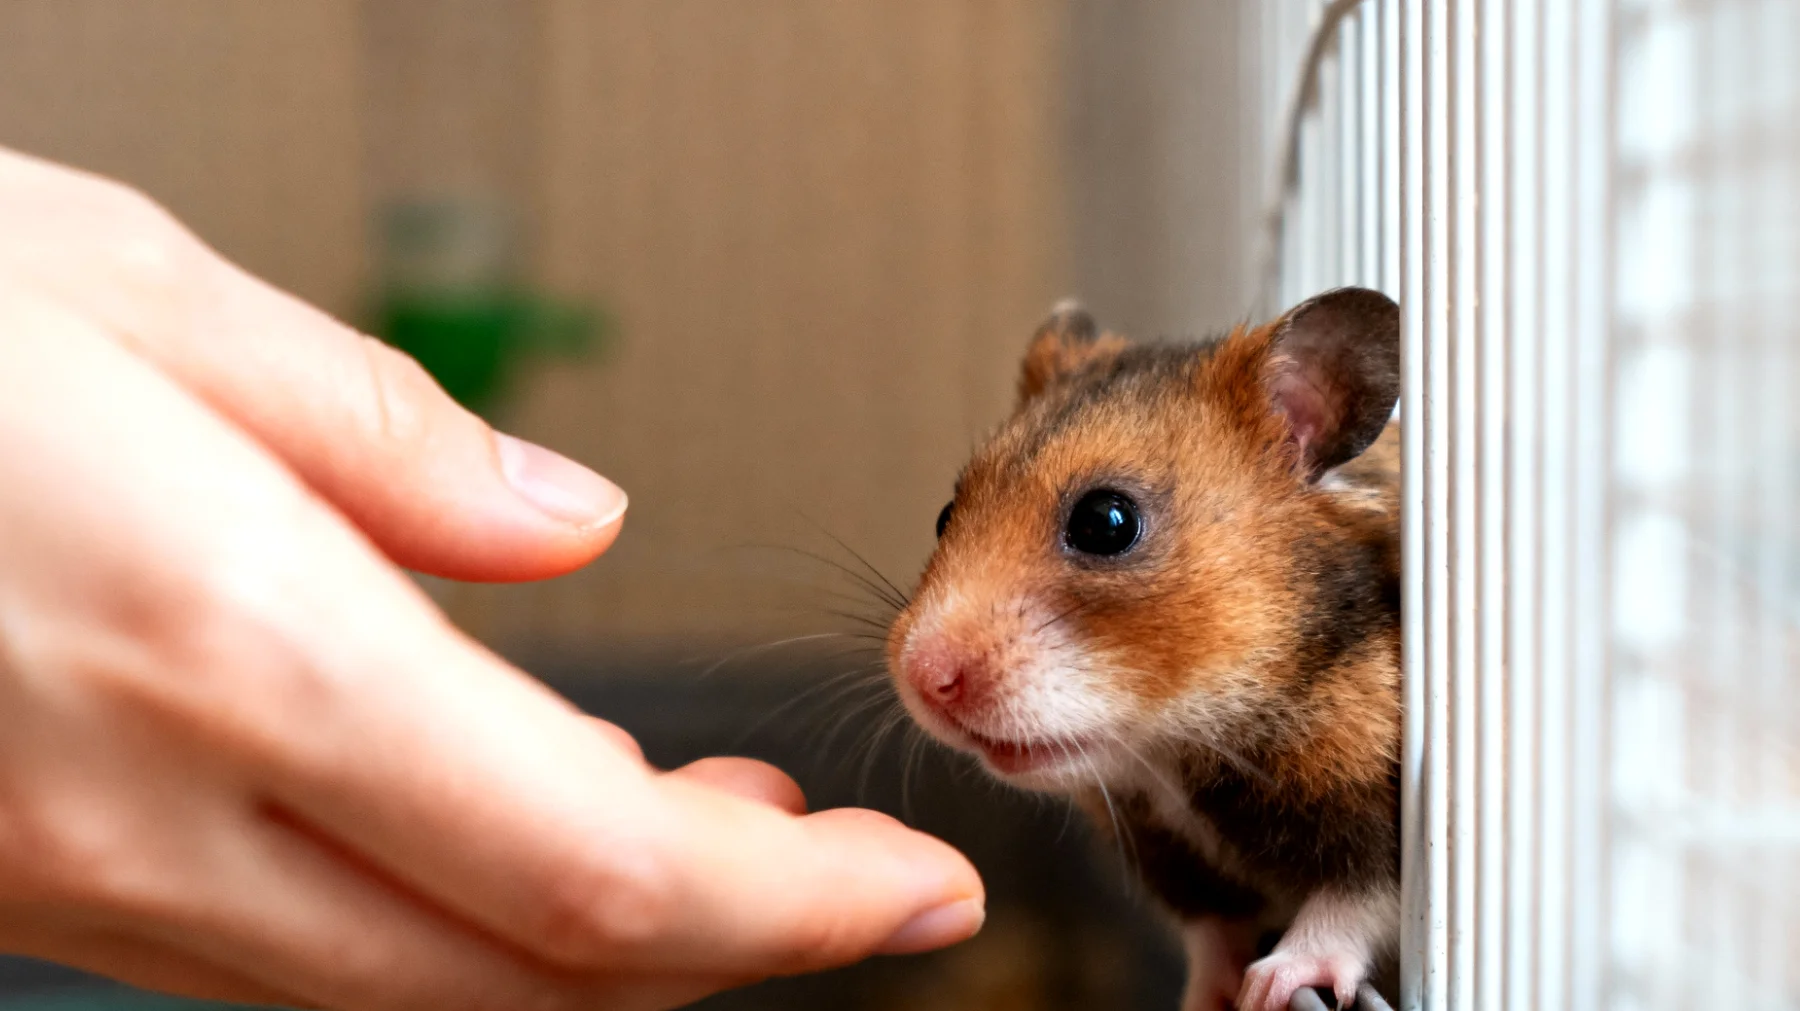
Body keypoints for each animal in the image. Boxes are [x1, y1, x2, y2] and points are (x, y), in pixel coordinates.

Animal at [885, 288, 1401, 1011]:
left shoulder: (1379, 814)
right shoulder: (1177, 864)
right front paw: (1204, 996)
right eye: (944, 515)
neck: (1175, 750)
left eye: (1106, 522)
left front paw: (1270, 987)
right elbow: (1213, 937)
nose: (922, 678)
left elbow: (1348, 903)